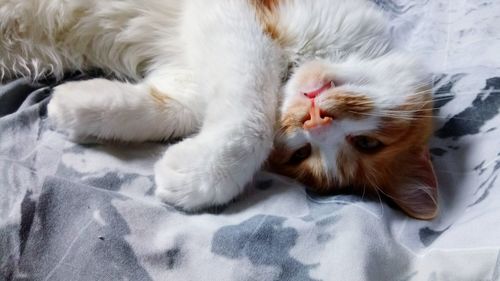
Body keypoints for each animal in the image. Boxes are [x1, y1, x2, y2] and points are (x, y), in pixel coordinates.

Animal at [0, 0, 438, 219]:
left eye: (300, 154)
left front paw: (73, 108)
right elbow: (253, 110)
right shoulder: (239, 17)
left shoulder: (190, 72)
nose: (314, 120)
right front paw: (206, 176)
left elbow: (166, 108)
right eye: (369, 143)